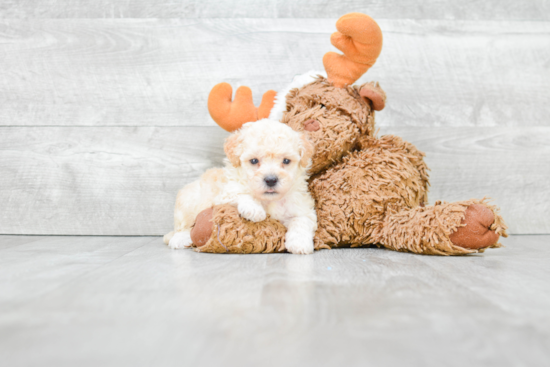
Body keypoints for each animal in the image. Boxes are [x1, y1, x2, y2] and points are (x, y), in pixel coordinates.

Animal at [164, 120, 320, 256]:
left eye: (286, 161)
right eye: (254, 161)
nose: (270, 180)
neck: (269, 200)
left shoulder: (301, 207)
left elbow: (302, 221)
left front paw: (299, 244)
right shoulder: (224, 193)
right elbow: (240, 193)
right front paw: (255, 210)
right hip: (189, 202)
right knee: (182, 228)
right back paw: (180, 239)